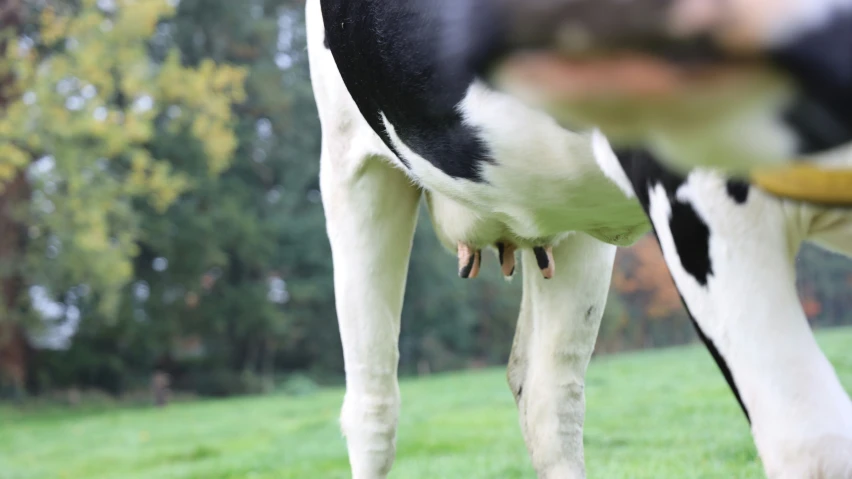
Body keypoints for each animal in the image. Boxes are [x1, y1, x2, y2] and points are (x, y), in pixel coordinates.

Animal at [306, 0, 852, 479]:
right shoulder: (701, 199)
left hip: (575, 204)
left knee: (548, 397)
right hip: (352, 165)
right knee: (372, 407)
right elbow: (812, 443)